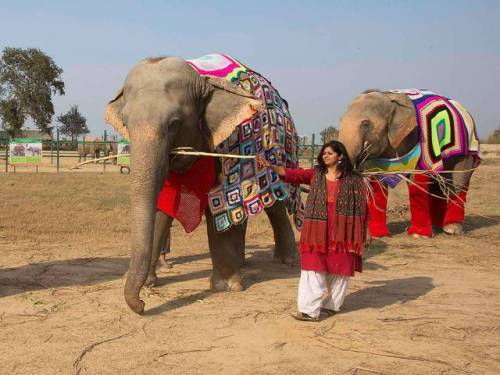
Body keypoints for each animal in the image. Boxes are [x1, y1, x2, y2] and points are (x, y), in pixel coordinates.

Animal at [105, 54, 298, 316]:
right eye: (125, 122)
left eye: (175, 123)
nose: (142, 305)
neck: (201, 80)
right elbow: (162, 206)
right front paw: (146, 283)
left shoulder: (228, 143)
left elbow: (217, 204)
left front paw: (227, 287)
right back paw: (242, 263)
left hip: (273, 155)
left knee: (274, 203)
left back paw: (285, 261)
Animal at [340, 89, 480, 238]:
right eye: (340, 120)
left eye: (366, 124)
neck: (388, 97)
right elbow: (377, 182)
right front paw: (379, 235)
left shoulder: (422, 139)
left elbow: (418, 178)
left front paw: (417, 235)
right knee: (437, 185)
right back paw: (435, 228)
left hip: (466, 150)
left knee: (457, 182)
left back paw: (451, 229)